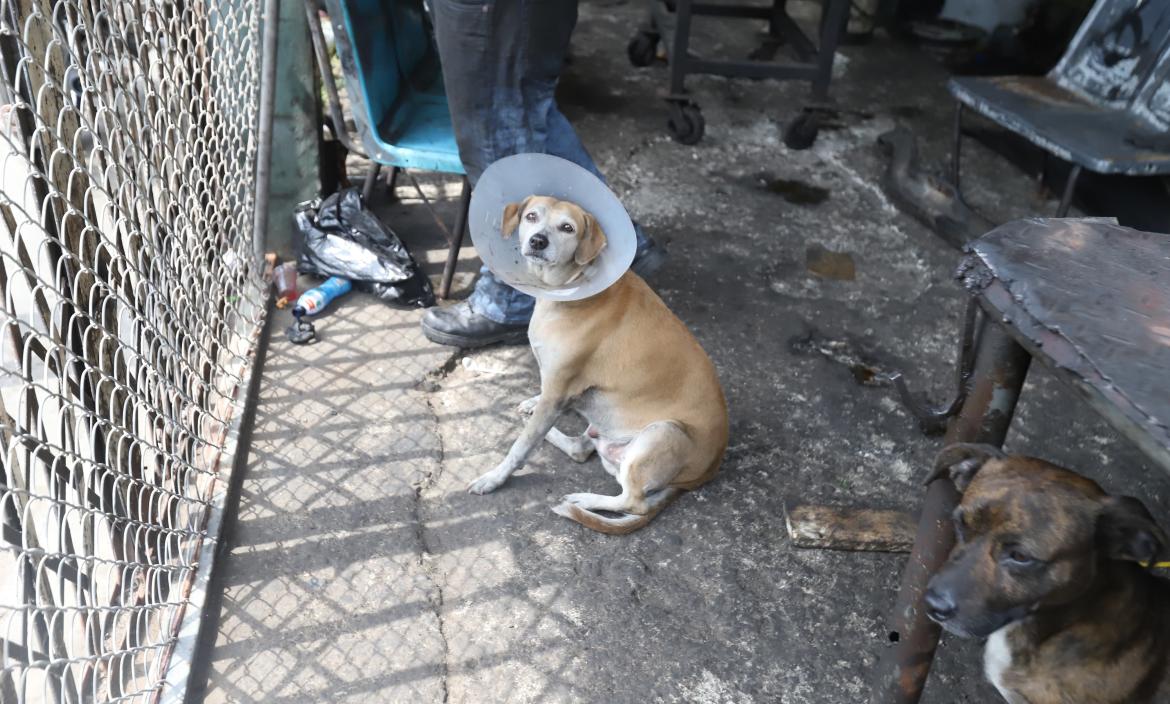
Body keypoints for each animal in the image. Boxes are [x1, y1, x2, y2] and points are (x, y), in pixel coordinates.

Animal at [463, 192, 720, 530]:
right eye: (531, 216)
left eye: (567, 227)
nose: (538, 241)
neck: (571, 291)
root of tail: (706, 472)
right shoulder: (554, 387)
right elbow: (540, 408)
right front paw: (532, 403)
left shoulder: (558, 388)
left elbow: (520, 446)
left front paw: (494, 478)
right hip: (605, 423)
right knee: (579, 450)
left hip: (663, 432)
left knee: (633, 502)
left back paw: (583, 499)